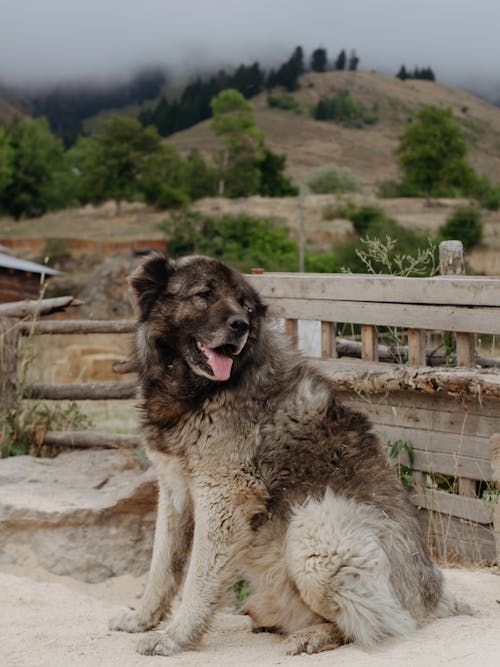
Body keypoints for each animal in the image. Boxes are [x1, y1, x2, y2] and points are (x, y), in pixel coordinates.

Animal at [110, 254, 464, 656]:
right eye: (205, 294)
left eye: (245, 306)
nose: (241, 325)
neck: (202, 392)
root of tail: (436, 598)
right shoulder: (175, 493)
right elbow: (161, 569)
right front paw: (142, 620)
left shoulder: (225, 496)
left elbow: (197, 580)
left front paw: (176, 636)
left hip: (314, 526)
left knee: (378, 622)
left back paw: (313, 635)